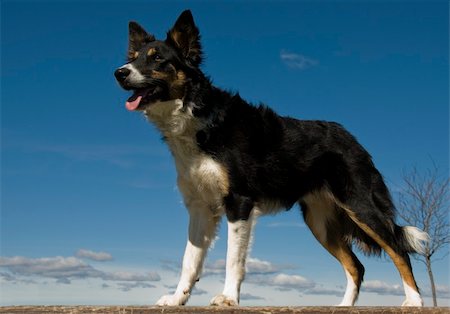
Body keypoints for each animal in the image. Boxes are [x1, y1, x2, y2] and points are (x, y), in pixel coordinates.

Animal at [114, 9, 428, 306]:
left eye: (157, 59)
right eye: (133, 58)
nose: (119, 73)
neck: (199, 117)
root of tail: (353, 139)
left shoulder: (239, 202)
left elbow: (232, 260)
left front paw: (228, 298)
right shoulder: (199, 207)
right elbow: (189, 261)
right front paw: (177, 298)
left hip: (360, 206)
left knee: (399, 250)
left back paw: (413, 300)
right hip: (319, 221)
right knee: (357, 266)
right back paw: (345, 305)